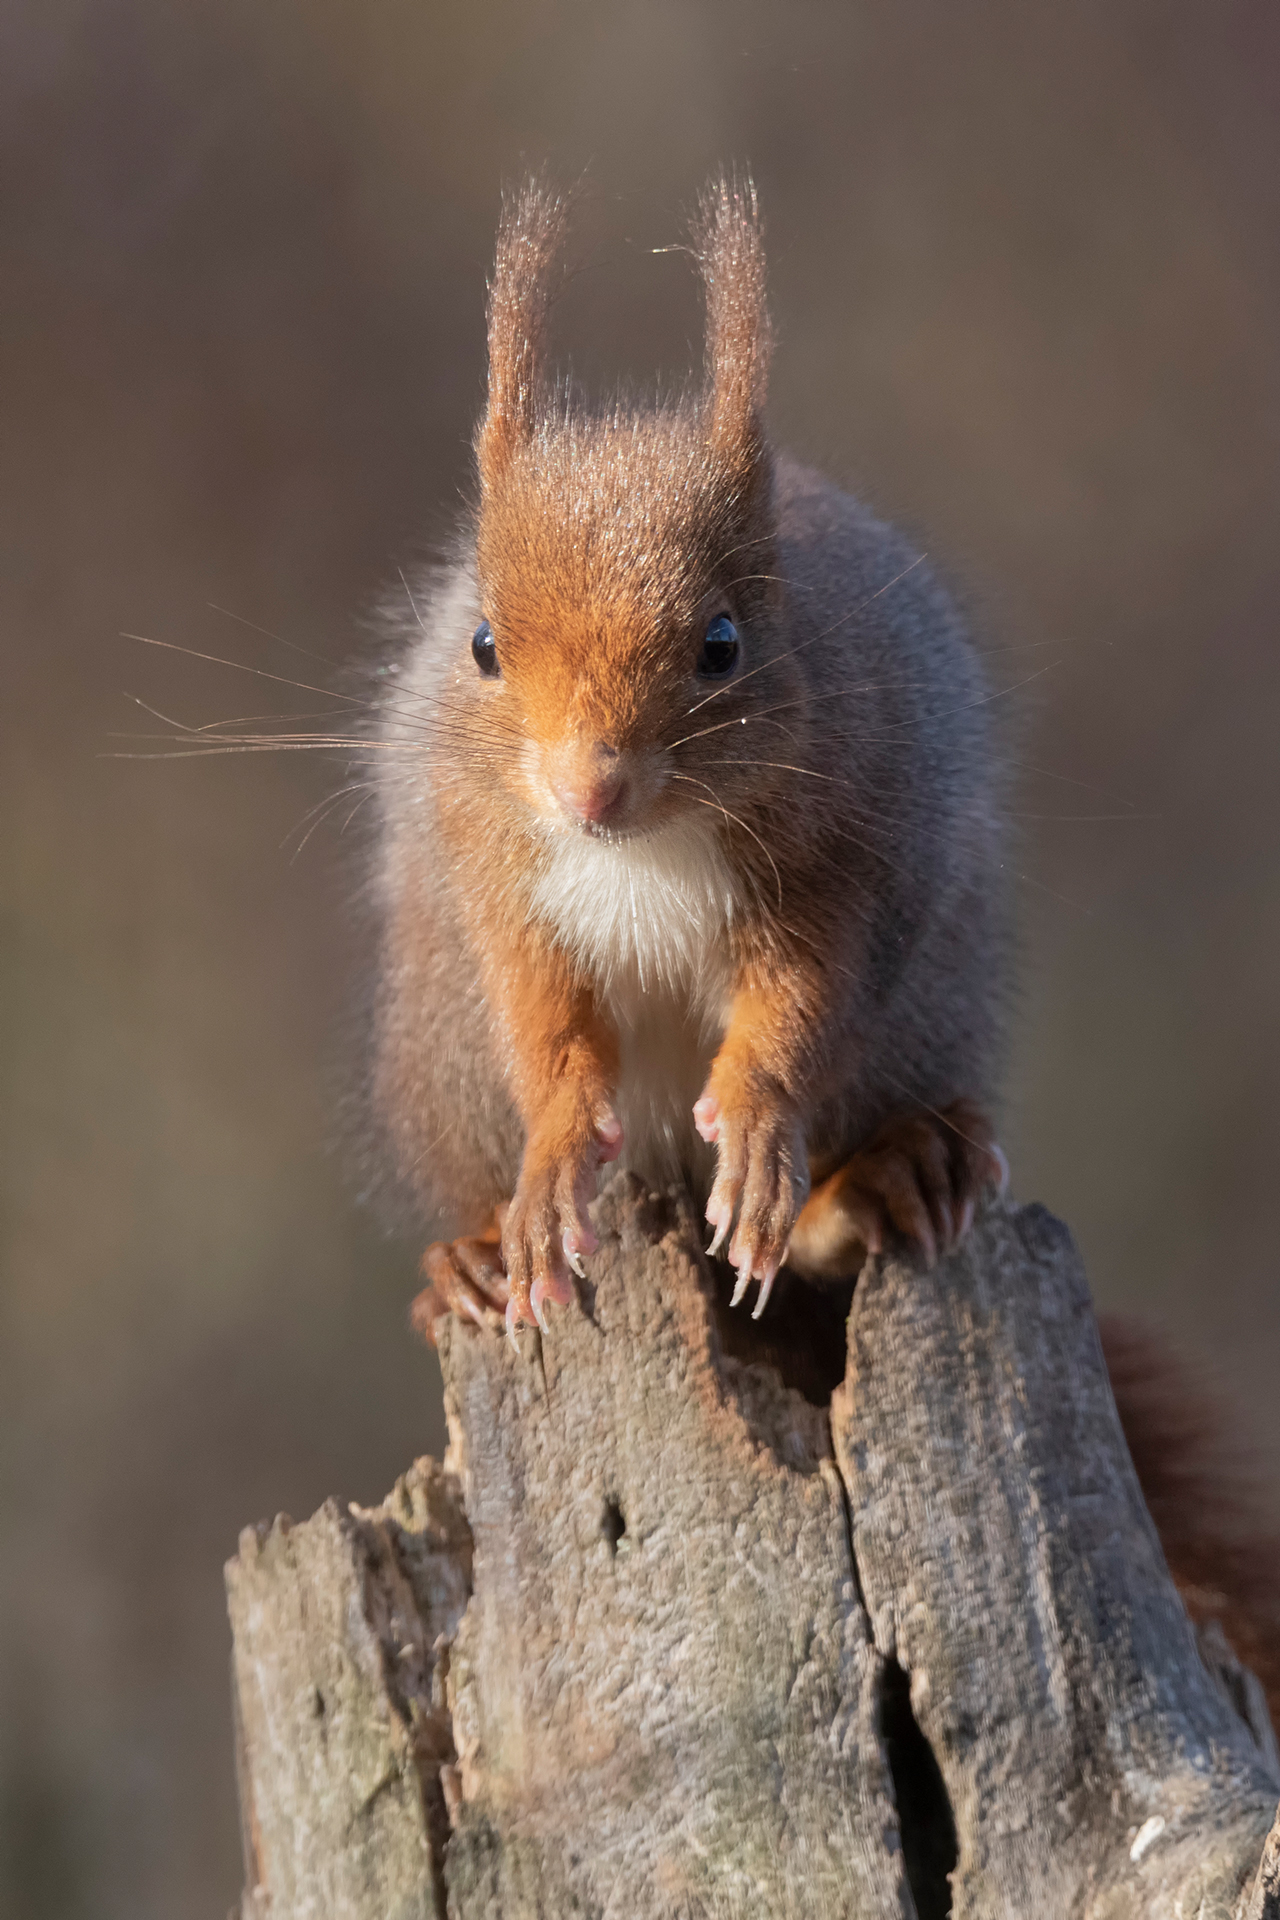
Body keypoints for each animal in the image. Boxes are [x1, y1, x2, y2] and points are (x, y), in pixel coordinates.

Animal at [368, 174, 1279, 1727]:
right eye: (483, 647)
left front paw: (756, 1132)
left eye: (723, 644)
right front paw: (550, 1172)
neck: (639, 851)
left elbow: (796, 1005)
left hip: (928, 1010)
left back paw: (873, 1183)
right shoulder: (495, 877)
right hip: (430, 1046)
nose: (589, 790)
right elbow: (546, 1021)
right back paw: (476, 1261)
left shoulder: (852, 853)